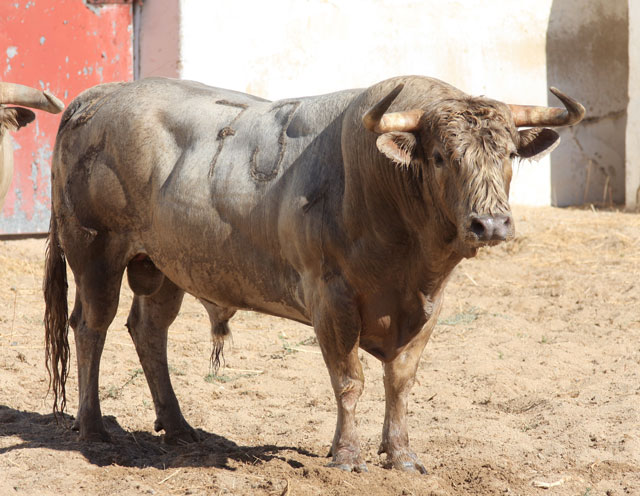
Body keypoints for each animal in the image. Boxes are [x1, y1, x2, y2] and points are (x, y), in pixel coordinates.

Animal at [43, 74, 584, 472]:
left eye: (509, 154)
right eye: (438, 156)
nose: (490, 224)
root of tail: (98, 96)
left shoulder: (429, 304)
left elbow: (400, 381)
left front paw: (402, 455)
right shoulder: (332, 300)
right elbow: (349, 380)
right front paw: (346, 456)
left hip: (164, 266)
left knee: (149, 330)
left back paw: (177, 427)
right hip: (96, 253)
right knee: (91, 328)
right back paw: (93, 428)